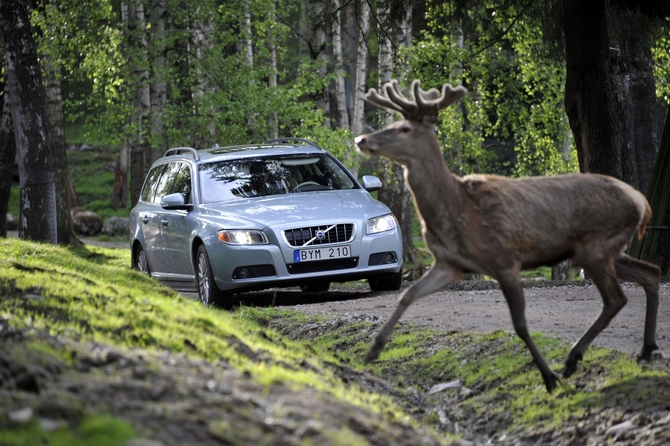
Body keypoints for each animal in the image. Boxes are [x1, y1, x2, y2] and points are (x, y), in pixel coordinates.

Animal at [354, 78, 664, 392]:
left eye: (404, 128)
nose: (361, 140)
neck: (457, 210)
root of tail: (641, 202)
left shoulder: (504, 259)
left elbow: (520, 324)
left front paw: (548, 378)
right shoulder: (449, 263)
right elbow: (406, 295)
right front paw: (373, 350)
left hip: (596, 246)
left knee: (616, 298)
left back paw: (573, 360)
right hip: (603, 249)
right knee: (651, 272)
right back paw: (644, 350)